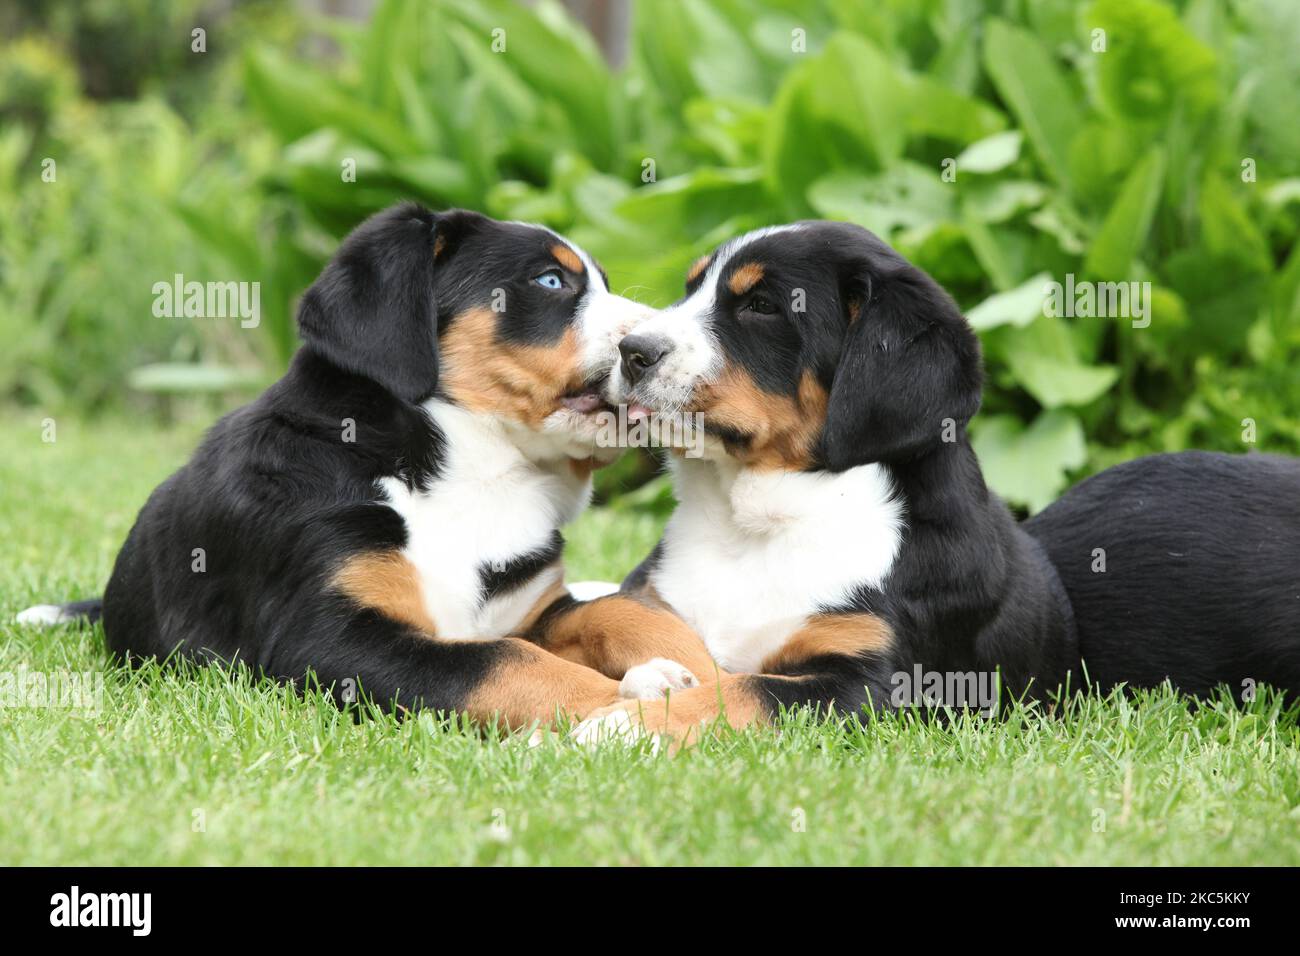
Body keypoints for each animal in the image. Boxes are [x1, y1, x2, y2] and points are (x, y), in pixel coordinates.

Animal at [17, 201, 712, 723]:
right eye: (550, 281)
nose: (650, 345)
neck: (473, 475)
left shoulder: (532, 608)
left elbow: (611, 610)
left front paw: (693, 666)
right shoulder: (329, 639)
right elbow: (504, 662)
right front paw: (627, 708)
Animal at [579, 221, 1076, 743]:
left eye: (762, 305)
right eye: (690, 288)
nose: (631, 350)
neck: (752, 528)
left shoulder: (874, 686)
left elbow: (746, 690)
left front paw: (625, 726)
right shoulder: (654, 597)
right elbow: (623, 616)